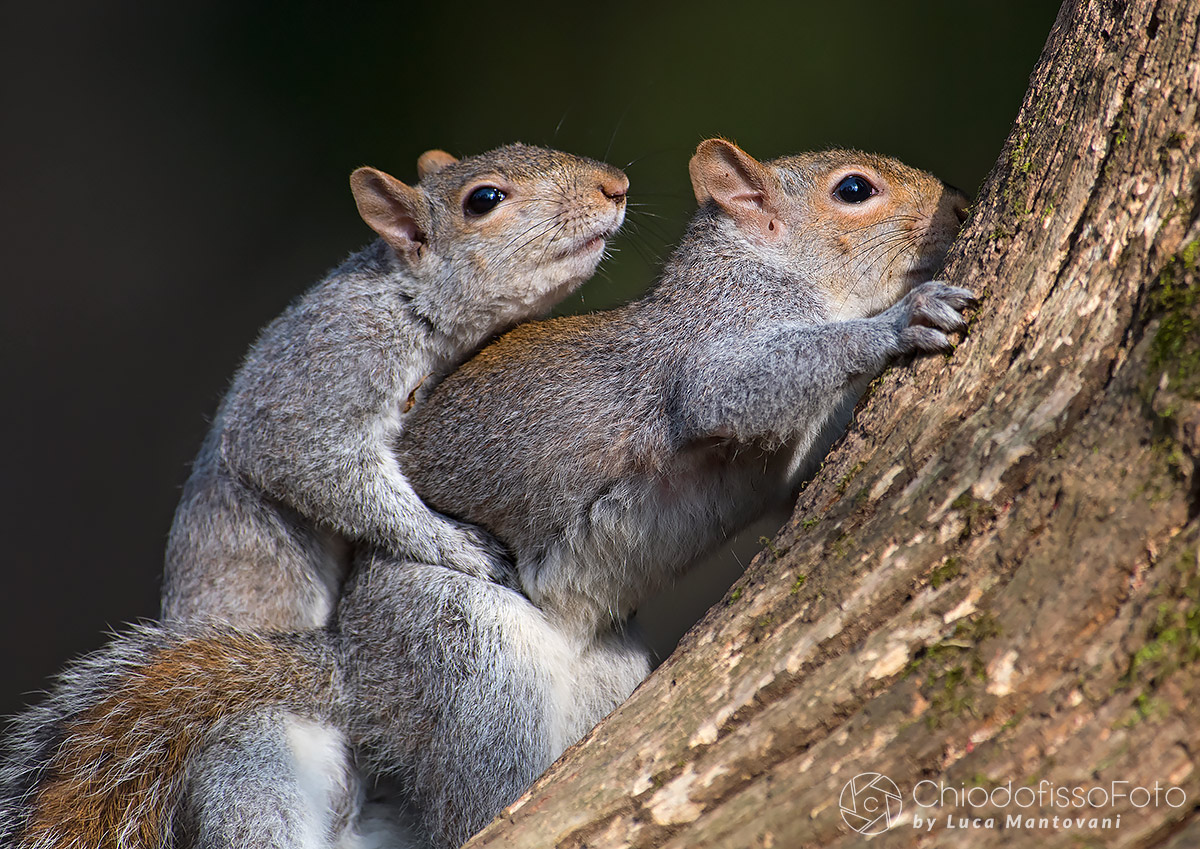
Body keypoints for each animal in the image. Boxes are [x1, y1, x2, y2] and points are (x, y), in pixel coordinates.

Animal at [161, 143, 629, 631]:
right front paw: (457, 544)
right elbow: (307, 461)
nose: (617, 186)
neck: (407, 304)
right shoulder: (330, 363)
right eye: (484, 199)